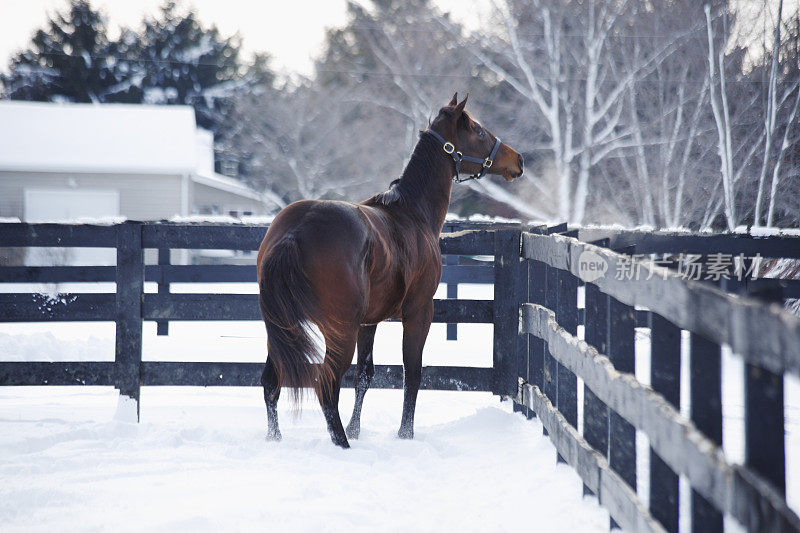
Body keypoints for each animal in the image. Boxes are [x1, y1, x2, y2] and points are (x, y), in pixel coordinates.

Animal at [253, 93, 520, 446]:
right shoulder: (419, 311)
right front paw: (405, 434)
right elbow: (413, 372)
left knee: (272, 380)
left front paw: (358, 429)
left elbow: (365, 375)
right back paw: (342, 444)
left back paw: (277, 437)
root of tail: (296, 230)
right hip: (339, 332)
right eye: (478, 130)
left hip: (283, 325)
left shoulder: (368, 323)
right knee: (326, 384)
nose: (518, 160)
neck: (412, 213)